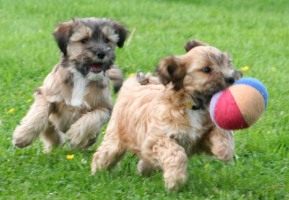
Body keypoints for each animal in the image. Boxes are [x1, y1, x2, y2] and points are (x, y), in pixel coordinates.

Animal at [12, 17, 127, 152]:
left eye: (107, 40)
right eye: (84, 40)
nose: (101, 54)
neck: (81, 77)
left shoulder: (105, 107)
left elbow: (93, 117)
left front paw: (76, 135)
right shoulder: (47, 94)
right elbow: (39, 113)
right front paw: (22, 137)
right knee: (50, 131)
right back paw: (52, 148)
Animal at [90, 40, 241, 191]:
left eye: (227, 63)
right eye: (206, 69)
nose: (231, 78)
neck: (192, 105)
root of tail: (133, 85)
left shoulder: (201, 136)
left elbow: (220, 131)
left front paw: (224, 150)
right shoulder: (159, 138)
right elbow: (177, 154)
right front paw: (176, 180)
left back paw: (143, 169)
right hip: (115, 137)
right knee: (105, 153)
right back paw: (97, 172)